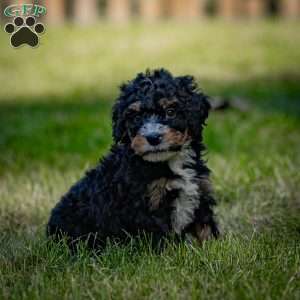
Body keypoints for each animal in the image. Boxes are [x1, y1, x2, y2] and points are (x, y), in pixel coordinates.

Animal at [47, 69, 220, 250]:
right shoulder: (149, 206)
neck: (171, 162)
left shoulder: (199, 191)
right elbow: (161, 239)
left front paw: (214, 248)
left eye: (170, 112)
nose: (153, 137)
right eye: (136, 118)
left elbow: (205, 228)